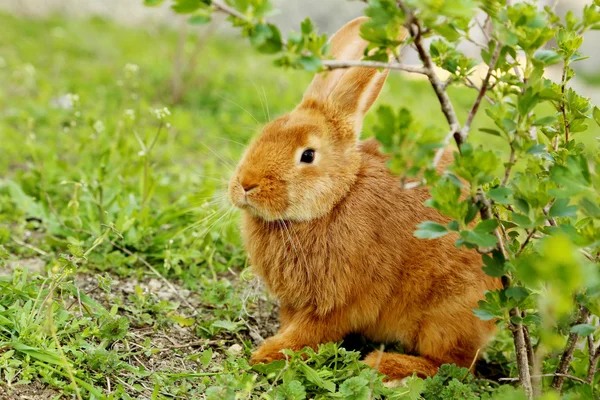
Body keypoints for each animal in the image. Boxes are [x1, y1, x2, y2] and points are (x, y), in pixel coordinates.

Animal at [229, 15, 502, 380]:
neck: (336, 200)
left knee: (452, 364)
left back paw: (386, 365)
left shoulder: (338, 301)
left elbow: (312, 331)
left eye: (307, 155)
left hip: (447, 313)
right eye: (266, 132)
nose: (246, 184)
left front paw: (269, 354)